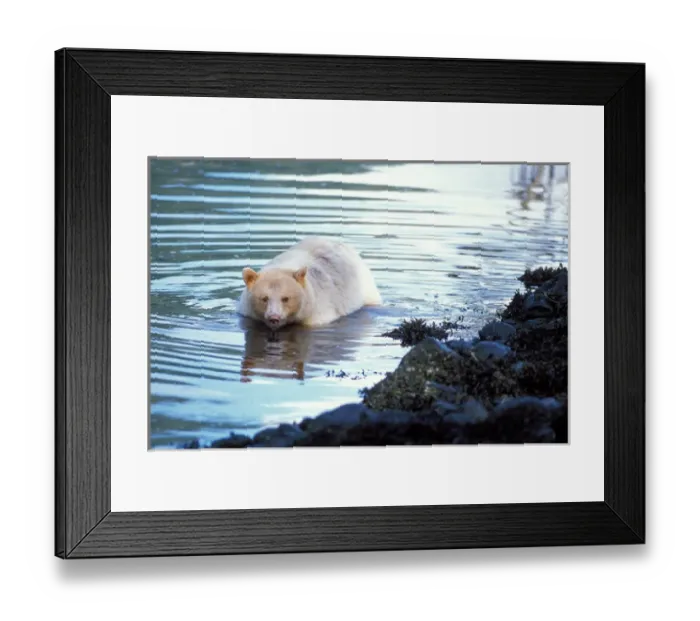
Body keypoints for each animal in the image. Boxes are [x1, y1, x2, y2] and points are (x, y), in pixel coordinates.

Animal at [237, 237, 382, 330]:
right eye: (264, 298)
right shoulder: (247, 312)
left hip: (365, 288)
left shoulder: (317, 312)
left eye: (286, 298)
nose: (274, 317)